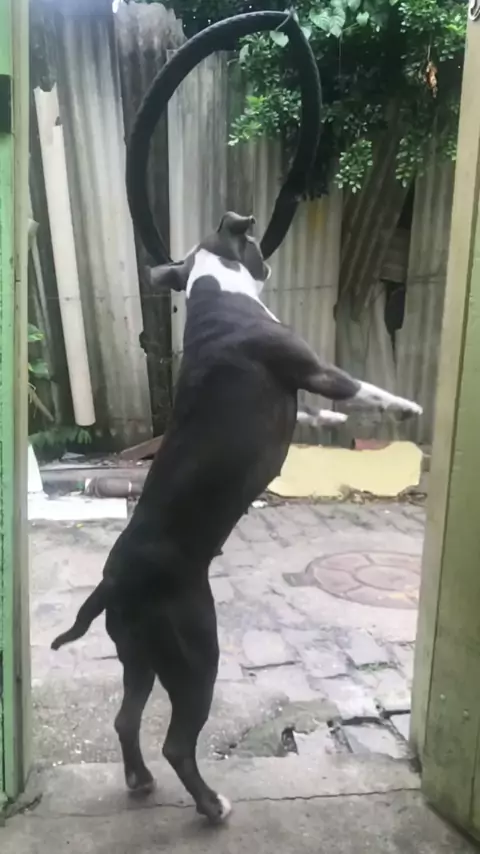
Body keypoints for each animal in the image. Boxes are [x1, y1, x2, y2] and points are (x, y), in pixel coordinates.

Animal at [51, 211, 422, 824]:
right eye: (253, 244)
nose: (268, 262)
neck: (215, 289)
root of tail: (112, 583)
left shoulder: (303, 388)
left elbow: (318, 412)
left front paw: (327, 421)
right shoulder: (317, 370)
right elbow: (360, 389)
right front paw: (404, 406)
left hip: (139, 657)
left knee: (127, 719)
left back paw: (139, 780)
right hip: (195, 657)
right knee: (177, 743)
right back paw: (211, 806)